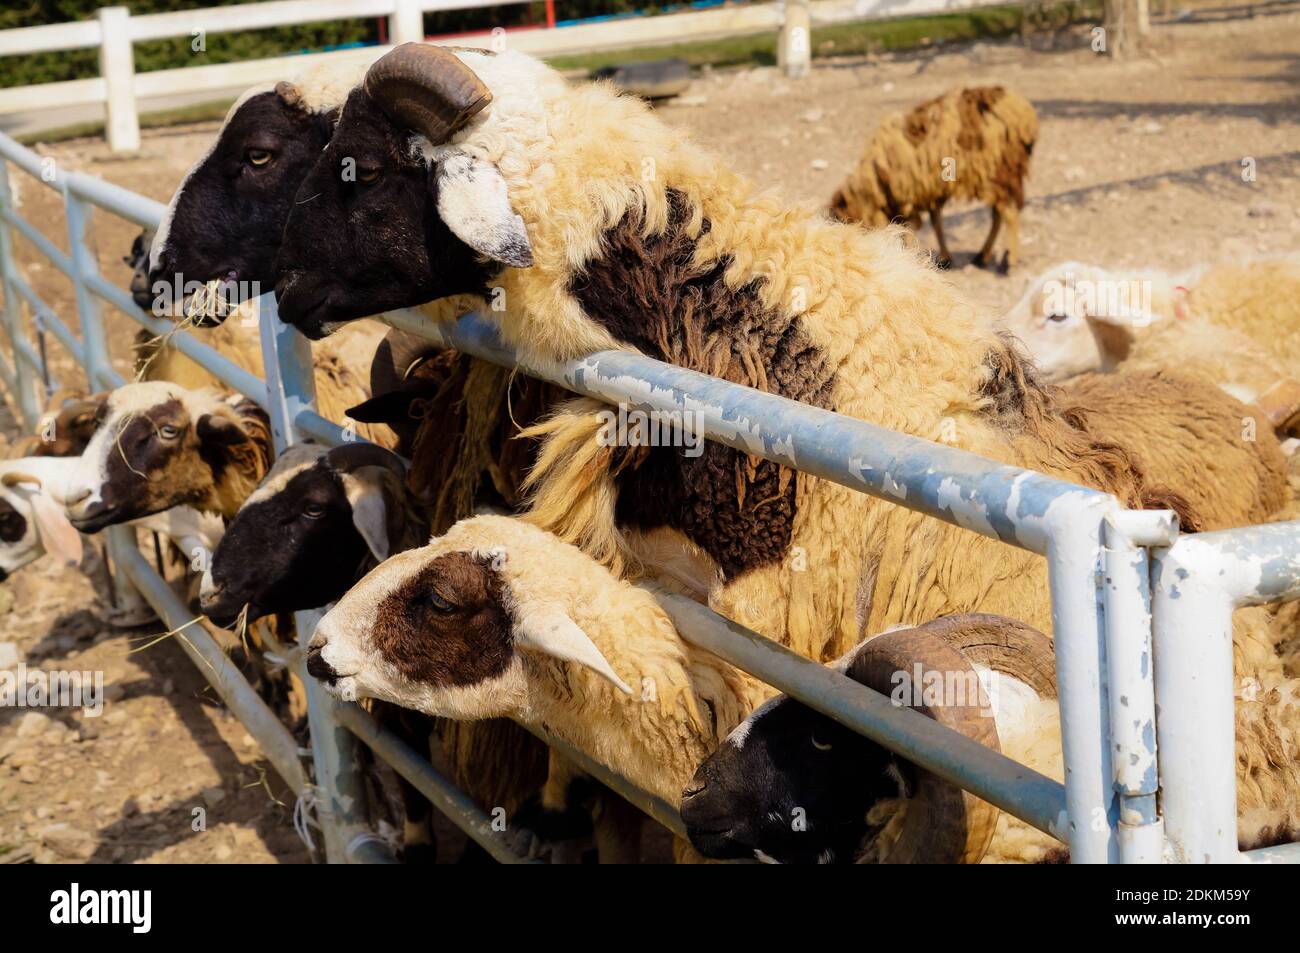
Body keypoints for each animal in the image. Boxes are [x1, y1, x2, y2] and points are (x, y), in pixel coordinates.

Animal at [828, 86, 1038, 271]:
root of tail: (1023, 114)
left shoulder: (910, 194)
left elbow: (910, 227)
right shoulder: (928, 191)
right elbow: (936, 222)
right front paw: (945, 258)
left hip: (998, 171)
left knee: (1009, 214)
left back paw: (1009, 263)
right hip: (1003, 175)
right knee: (998, 214)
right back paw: (982, 256)